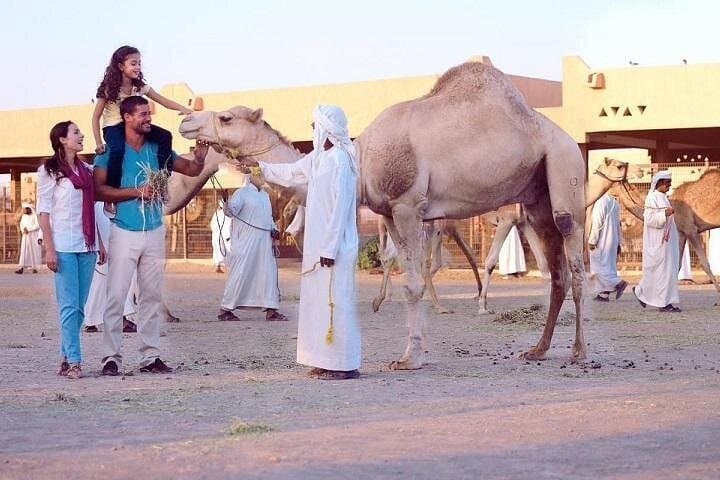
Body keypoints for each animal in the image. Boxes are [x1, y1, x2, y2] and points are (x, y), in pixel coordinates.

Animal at [178, 61, 588, 367]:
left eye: (226, 117)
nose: (186, 122)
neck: (361, 160)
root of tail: (564, 137)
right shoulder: (390, 213)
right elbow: (406, 273)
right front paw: (412, 351)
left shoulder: (407, 205)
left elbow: (413, 283)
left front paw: (409, 358)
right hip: (535, 198)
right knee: (557, 272)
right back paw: (538, 349)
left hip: (565, 171)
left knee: (575, 261)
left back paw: (579, 352)